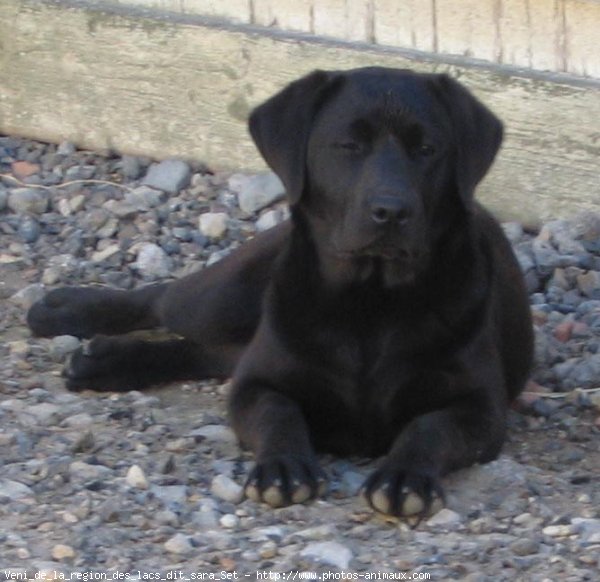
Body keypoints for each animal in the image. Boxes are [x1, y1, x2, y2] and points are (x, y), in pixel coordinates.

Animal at [29, 68, 536, 520]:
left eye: (427, 149)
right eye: (349, 146)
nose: (391, 211)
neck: (370, 303)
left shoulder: (480, 408)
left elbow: (428, 426)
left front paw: (404, 477)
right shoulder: (257, 383)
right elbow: (280, 413)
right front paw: (283, 468)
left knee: (205, 351)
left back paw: (104, 361)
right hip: (225, 299)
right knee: (166, 299)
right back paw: (63, 310)